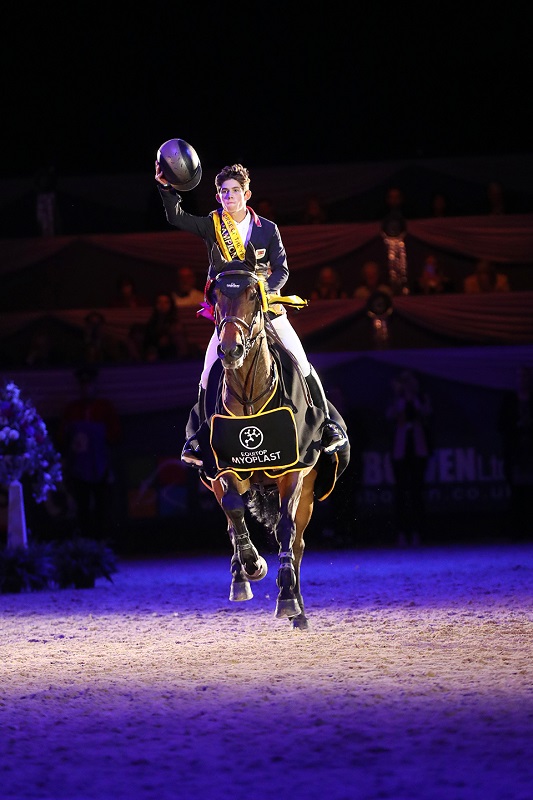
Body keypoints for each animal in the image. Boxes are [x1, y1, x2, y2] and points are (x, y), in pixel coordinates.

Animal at [197, 241, 348, 628]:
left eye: (254, 293)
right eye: (216, 294)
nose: (230, 350)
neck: (251, 398)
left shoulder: (295, 471)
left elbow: (285, 530)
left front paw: (288, 599)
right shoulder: (224, 467)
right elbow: (235, 512)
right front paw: (252, 566)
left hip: (309, 489)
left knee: (297, 541)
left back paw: (298, 609)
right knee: (232, 523)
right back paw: (240, 575)